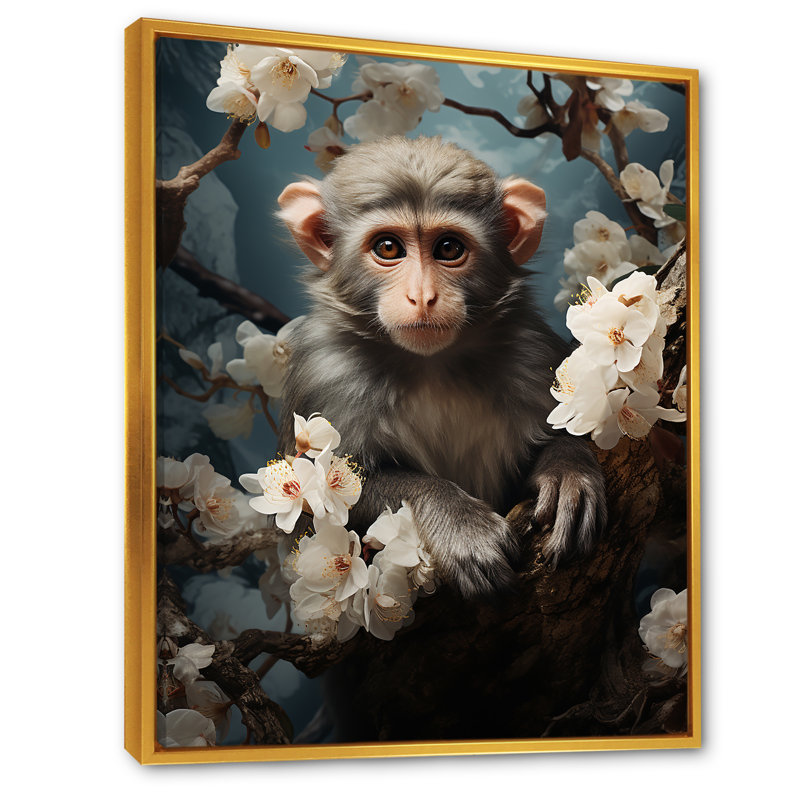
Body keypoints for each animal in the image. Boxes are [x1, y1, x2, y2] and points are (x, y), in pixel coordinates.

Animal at [275, 136, 606, 599]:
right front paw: (459, 524)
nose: (422, 296)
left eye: (449, 249)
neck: (431, 365)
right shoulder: (325, 378)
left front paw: (566, 469)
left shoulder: (533, 355)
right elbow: (326, 499)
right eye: (388, 248)